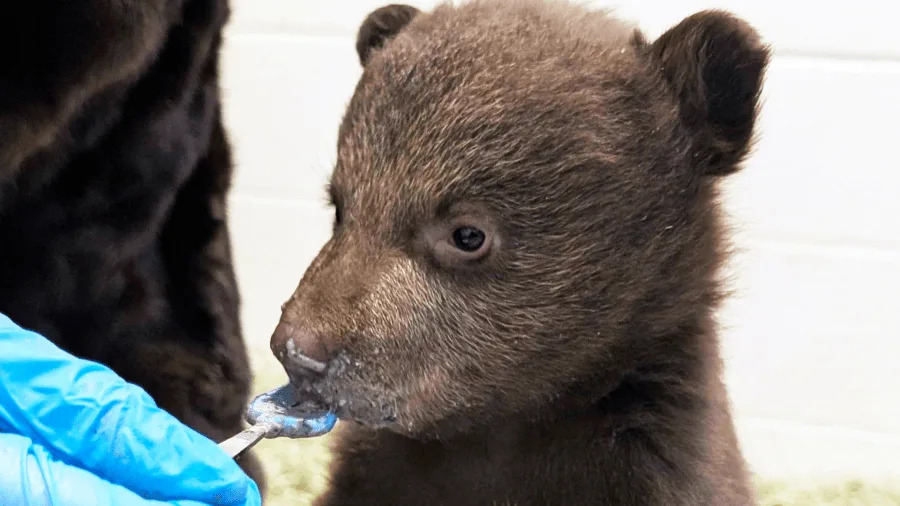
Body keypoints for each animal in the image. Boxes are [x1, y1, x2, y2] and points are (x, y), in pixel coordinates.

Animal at [270, 0, 769, 504]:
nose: (296, 350)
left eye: (468, 234)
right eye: (340, 206)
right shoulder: (378, 472)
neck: (506, 429)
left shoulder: (657, 465)